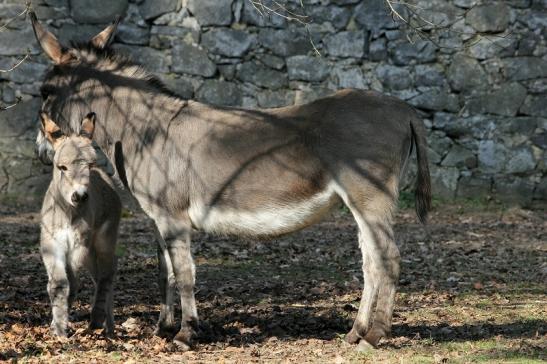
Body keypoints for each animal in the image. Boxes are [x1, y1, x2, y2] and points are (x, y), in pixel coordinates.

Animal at [39, 112, 122, 336]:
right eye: (62, 167)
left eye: (89, 166)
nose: (80, 196)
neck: (68, 213)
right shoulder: (52, 244)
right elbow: (59, 284)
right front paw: (58, 328)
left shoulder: (77, 246)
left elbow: (72, 282)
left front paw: (61, 327)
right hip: (90, 251)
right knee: (99, 275)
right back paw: (106, 324)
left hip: (102, 240)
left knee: (107, 274)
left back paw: (100, 321)